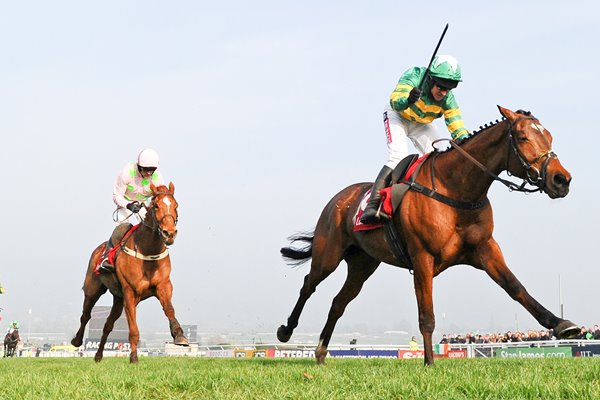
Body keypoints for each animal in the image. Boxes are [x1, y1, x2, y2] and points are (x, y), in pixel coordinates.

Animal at [72, 183, 188, 364]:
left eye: (176, 205)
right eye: (156, 206)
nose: (169, 233)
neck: (148, 251)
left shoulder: (163, 286)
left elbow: (169, 309)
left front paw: (179, 335)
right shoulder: (130, 292)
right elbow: (133, 329)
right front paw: (133, 358)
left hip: (118, 299)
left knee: (107, 325)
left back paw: (98, 356)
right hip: (93, 289)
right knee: (85, 315)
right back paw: (77, 340)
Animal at [278, 105, 580, 366]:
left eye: (549, 136)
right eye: (522, 137)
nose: (561, 179)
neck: (457, 190)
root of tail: (339, 199)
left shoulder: (485, 249)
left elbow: (516, 287)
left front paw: (562, 324)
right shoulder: (422, 257)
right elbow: (427, 315)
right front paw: (429, 362)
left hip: (363, 264)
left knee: (338, 303)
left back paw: (320, 352)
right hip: (328, 254)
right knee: (308, 285)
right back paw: (286, 330)